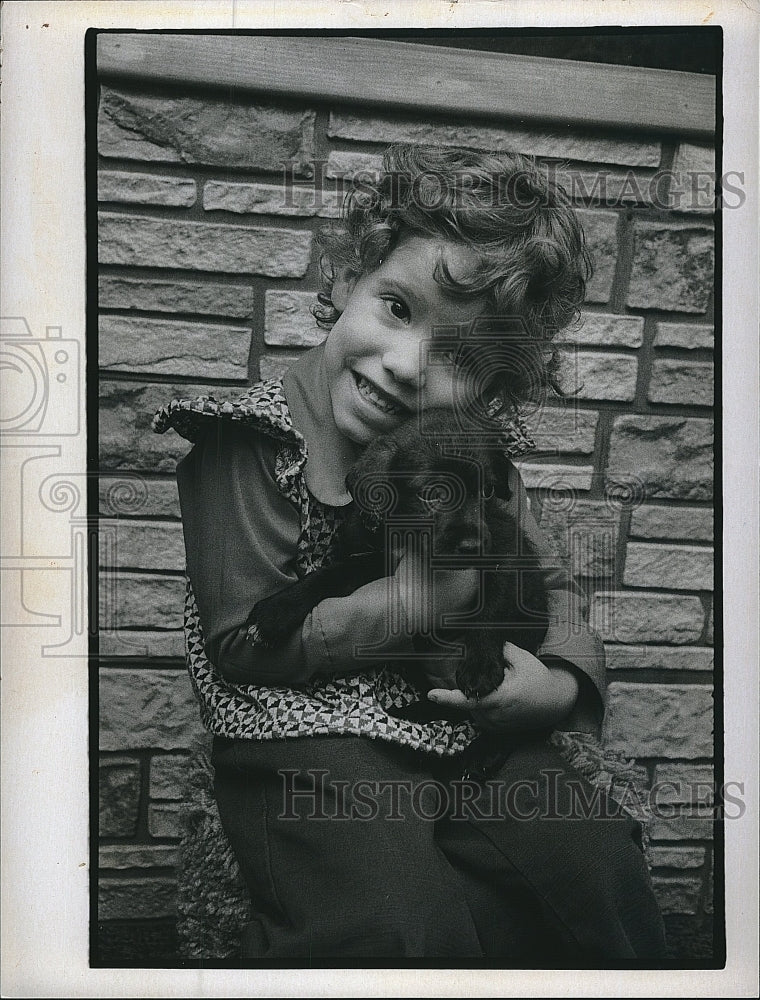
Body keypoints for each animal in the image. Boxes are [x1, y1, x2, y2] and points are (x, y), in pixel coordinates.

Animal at [246, 406, 548, 712]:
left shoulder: (506, 553)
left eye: (487, 491)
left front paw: (481, 666)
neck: (407, 537)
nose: (472, 546)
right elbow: (329, 575)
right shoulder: (371, 558)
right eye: (433, 494)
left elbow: (493, 607)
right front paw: (277, 610)